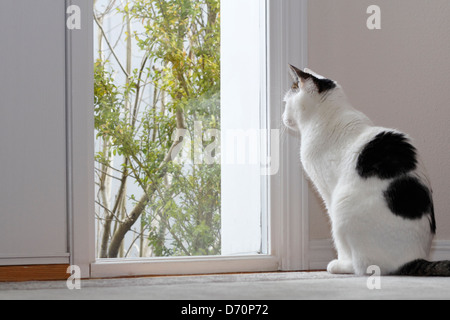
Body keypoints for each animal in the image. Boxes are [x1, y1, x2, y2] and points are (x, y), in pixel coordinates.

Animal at [284, 64, 450, 276]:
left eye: (286, 102)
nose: (283, 117)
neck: (329, 116)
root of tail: (414, 257)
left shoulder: (328, 193)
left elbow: (339, 242)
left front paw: (340, 261)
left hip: (342, 207)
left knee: (365, 267)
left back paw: (342, 266)